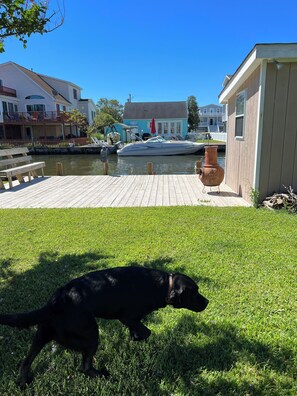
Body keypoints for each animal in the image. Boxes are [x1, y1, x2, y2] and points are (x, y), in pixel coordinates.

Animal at [0, 266, 208, 386]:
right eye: (194, 292)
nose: (207, 302)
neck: (164, 285)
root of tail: (55, 302)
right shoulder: (128, 317)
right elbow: (146, 331)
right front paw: (140, 340)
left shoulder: (132, 320)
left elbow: (138, 332)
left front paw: (135, 340)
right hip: (92, 333)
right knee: (84, 366)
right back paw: (103, 375)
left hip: (41, 334)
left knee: (25, 362)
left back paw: (24, 382)